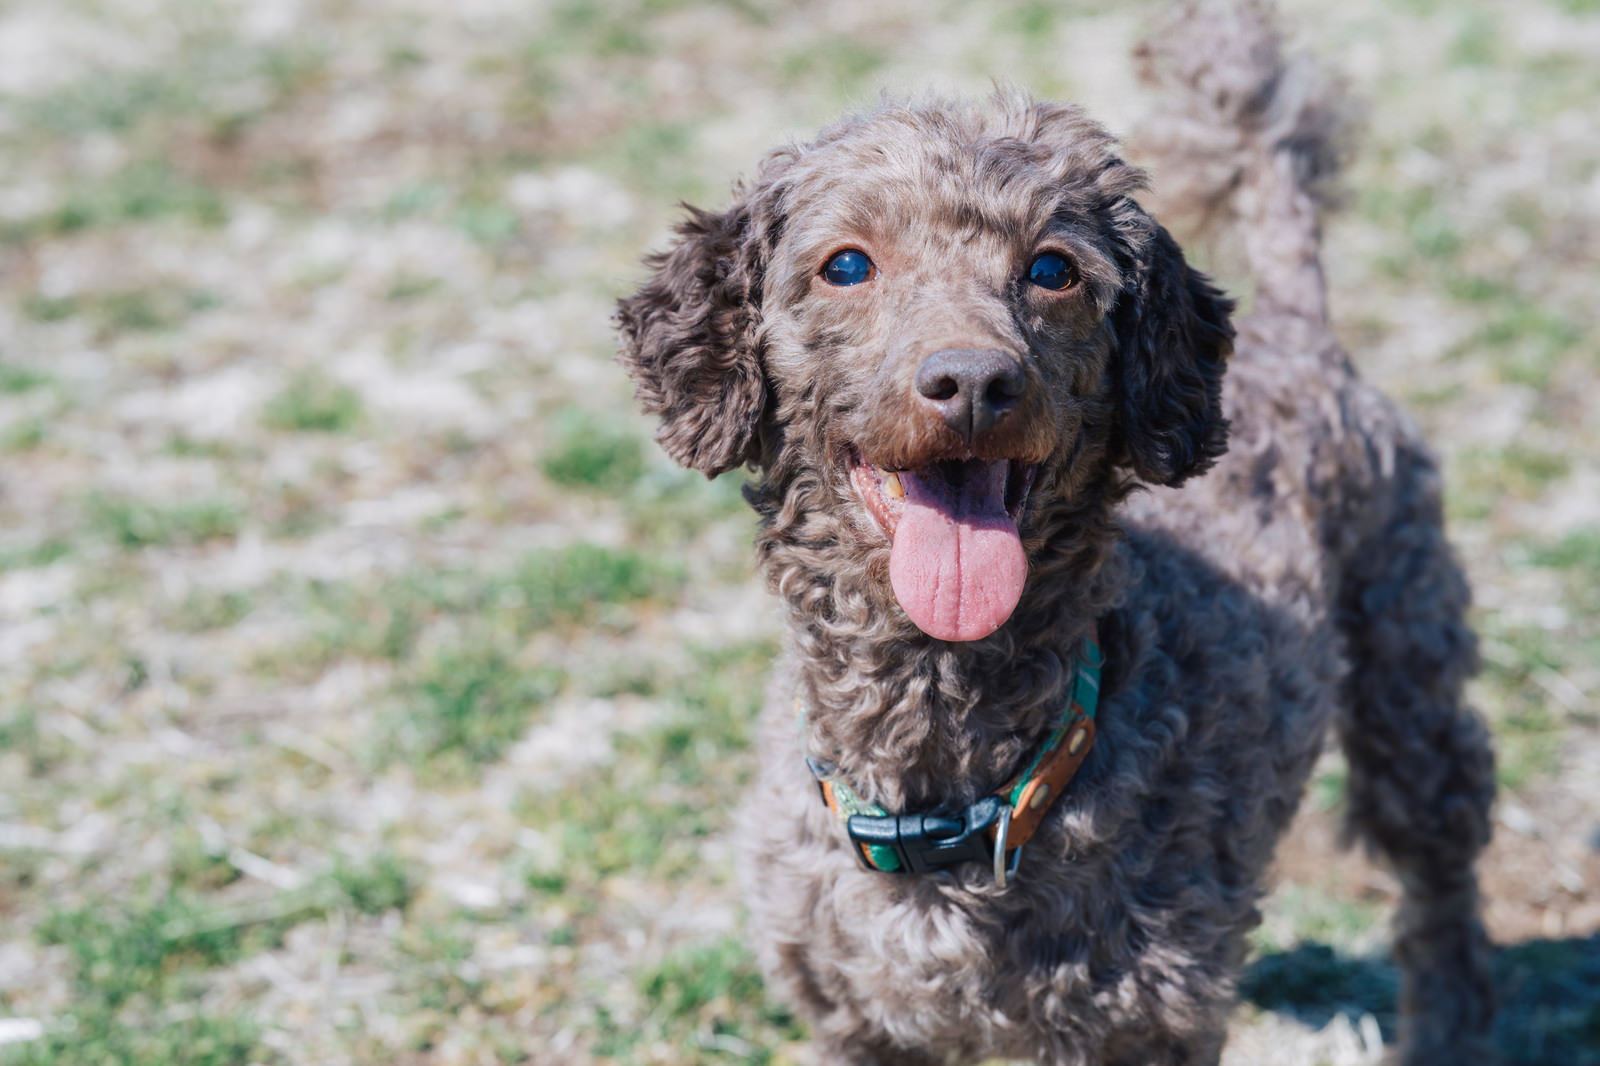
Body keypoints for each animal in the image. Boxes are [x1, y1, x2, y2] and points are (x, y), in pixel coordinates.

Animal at [614, 4, 1497, 1056]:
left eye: (1052, 270)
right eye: (846, 266)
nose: (972, 381)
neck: (954, 797)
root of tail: (1299, 327)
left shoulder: (1150, 1021)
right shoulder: (853, 1017)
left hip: (1407, 662)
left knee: (1442, 870)